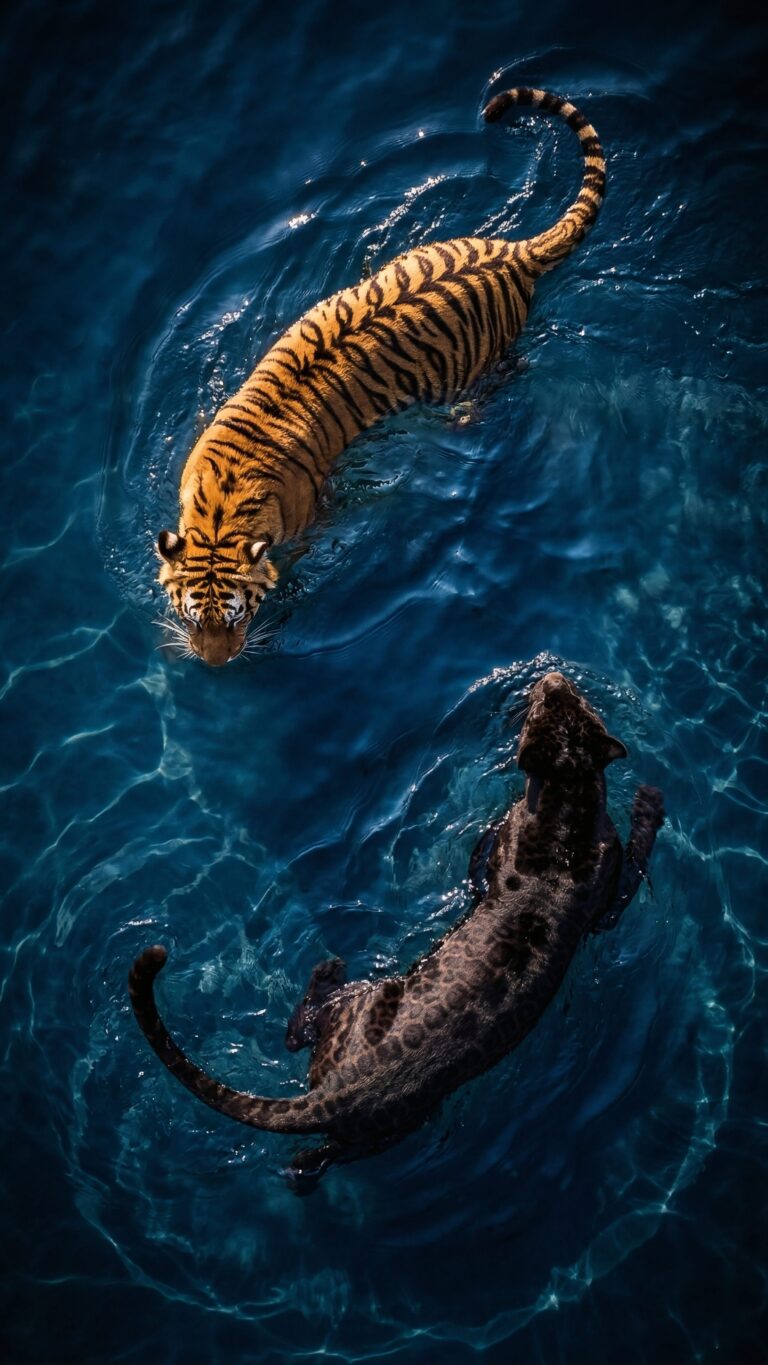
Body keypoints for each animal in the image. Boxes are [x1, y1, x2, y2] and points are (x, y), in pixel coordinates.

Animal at [156, 87, 606, 665]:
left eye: (237, 616)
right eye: (194, 617)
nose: (217, 663)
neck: (221, 510)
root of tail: (513, 253)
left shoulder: (312, 521)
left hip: (474, 364)